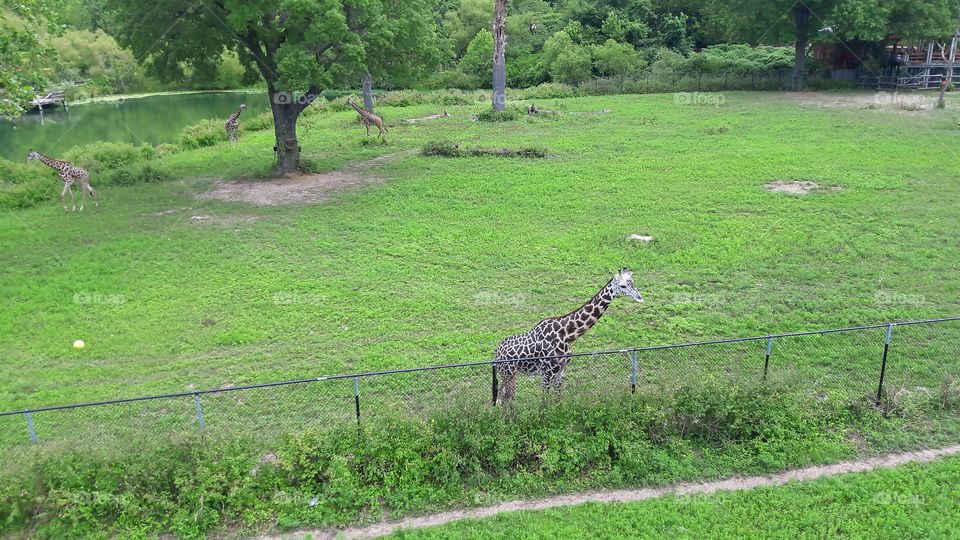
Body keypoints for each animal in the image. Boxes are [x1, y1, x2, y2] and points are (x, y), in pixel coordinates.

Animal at [494, 268, 643, 404]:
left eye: (633, 283)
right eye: (623, 286)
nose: (640, 298)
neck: (566, 335)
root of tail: (496, 353)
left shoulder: (560, 371)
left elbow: (559, 400)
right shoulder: (548, 373)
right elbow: (543, 403)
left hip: (510, 374)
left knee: (504, 397)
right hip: (507, 373)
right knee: (505, 399)